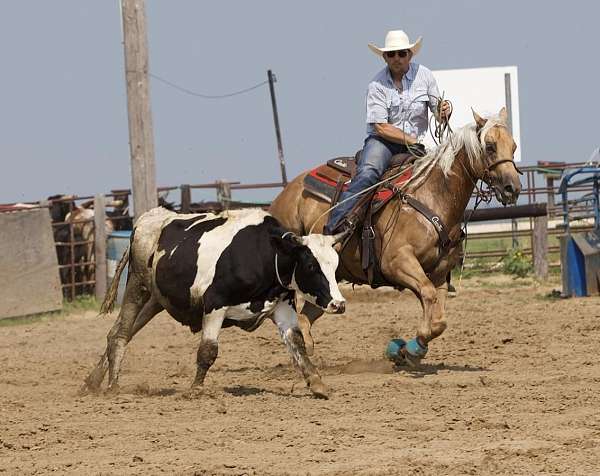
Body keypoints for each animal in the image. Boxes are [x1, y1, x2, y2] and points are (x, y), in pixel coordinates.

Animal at [84, 207, 346, 398]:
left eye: (335, 265)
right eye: (311, 265)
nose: (339, 304)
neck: (266, 255)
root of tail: (145, 220)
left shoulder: (282, 307)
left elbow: (297, 343)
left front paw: (317, 383)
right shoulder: (215, 304)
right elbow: (208, 350)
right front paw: (195, 389)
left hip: (157, 299)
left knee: (121, 332)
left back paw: (91, 382)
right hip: (137, 286)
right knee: (121, 333)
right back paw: (113, 386)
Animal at [270, 108, 524, 364]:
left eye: (513, 146)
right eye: (490, 146)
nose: (512, 188)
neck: (431, 196)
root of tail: (285, 194)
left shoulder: (439, 274)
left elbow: (438, 319)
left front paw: (408, 349)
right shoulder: (397, 262)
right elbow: (428, 295)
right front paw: (408, 348)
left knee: (305, 317)